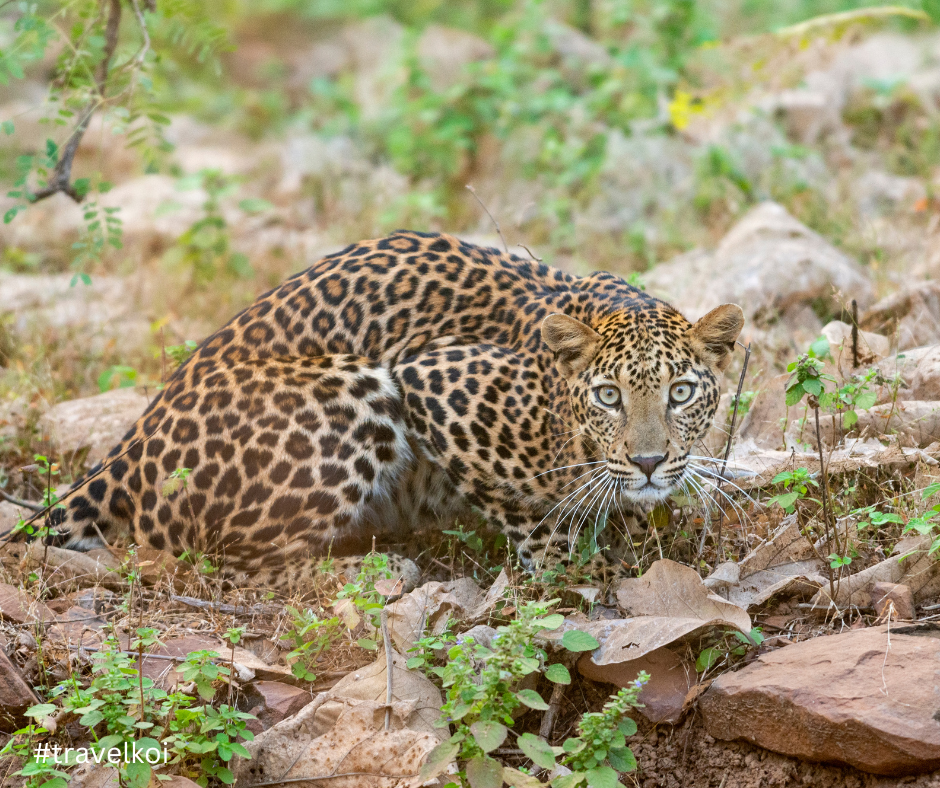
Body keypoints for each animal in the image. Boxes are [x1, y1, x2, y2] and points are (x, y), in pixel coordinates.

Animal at [35, 231, 740, 596]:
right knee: (221, 564)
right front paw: (580, 564)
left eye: (680, 392)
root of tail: (132, 446)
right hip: (356, 386)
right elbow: (534, 519)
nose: (648, 462)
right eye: (608, 396)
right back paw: (376, 567)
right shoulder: (432, 381)